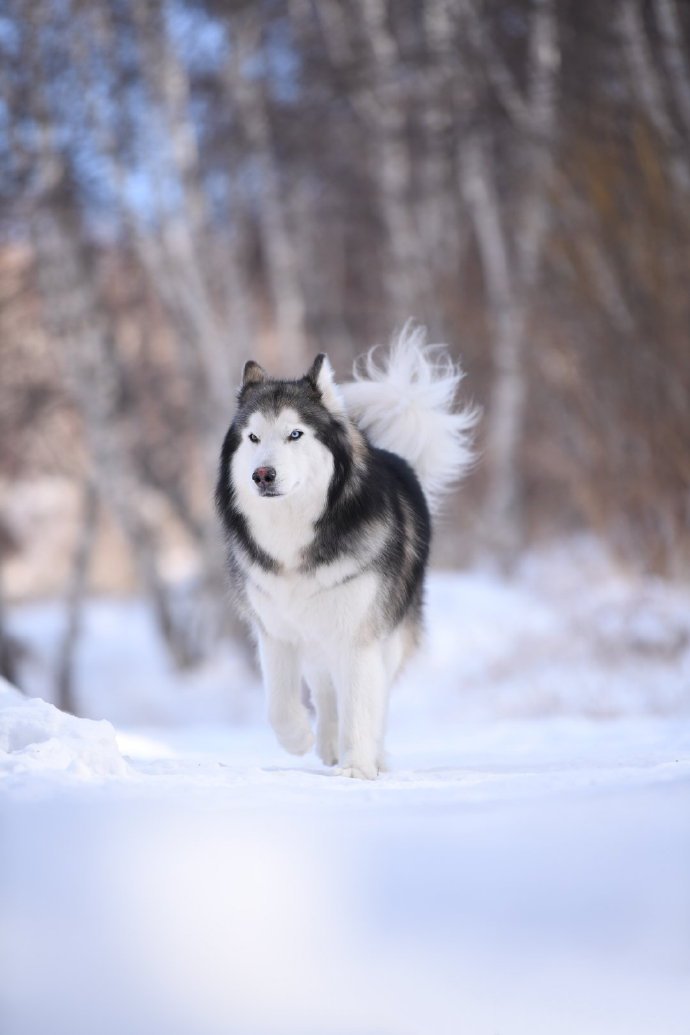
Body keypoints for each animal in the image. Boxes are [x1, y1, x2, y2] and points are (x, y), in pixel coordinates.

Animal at [216, 322, 475, 778]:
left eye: (295, 434)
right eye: (253, 437)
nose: (262, 474)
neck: (295, 536)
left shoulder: (359, 635)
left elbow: (361, 705)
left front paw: (357, 769)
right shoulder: (275, 631)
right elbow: (279, 705)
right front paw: (299, 739)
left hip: (387, 636)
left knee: (374, 697)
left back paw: (373, 754)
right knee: (325, 689)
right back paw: (326, 743)